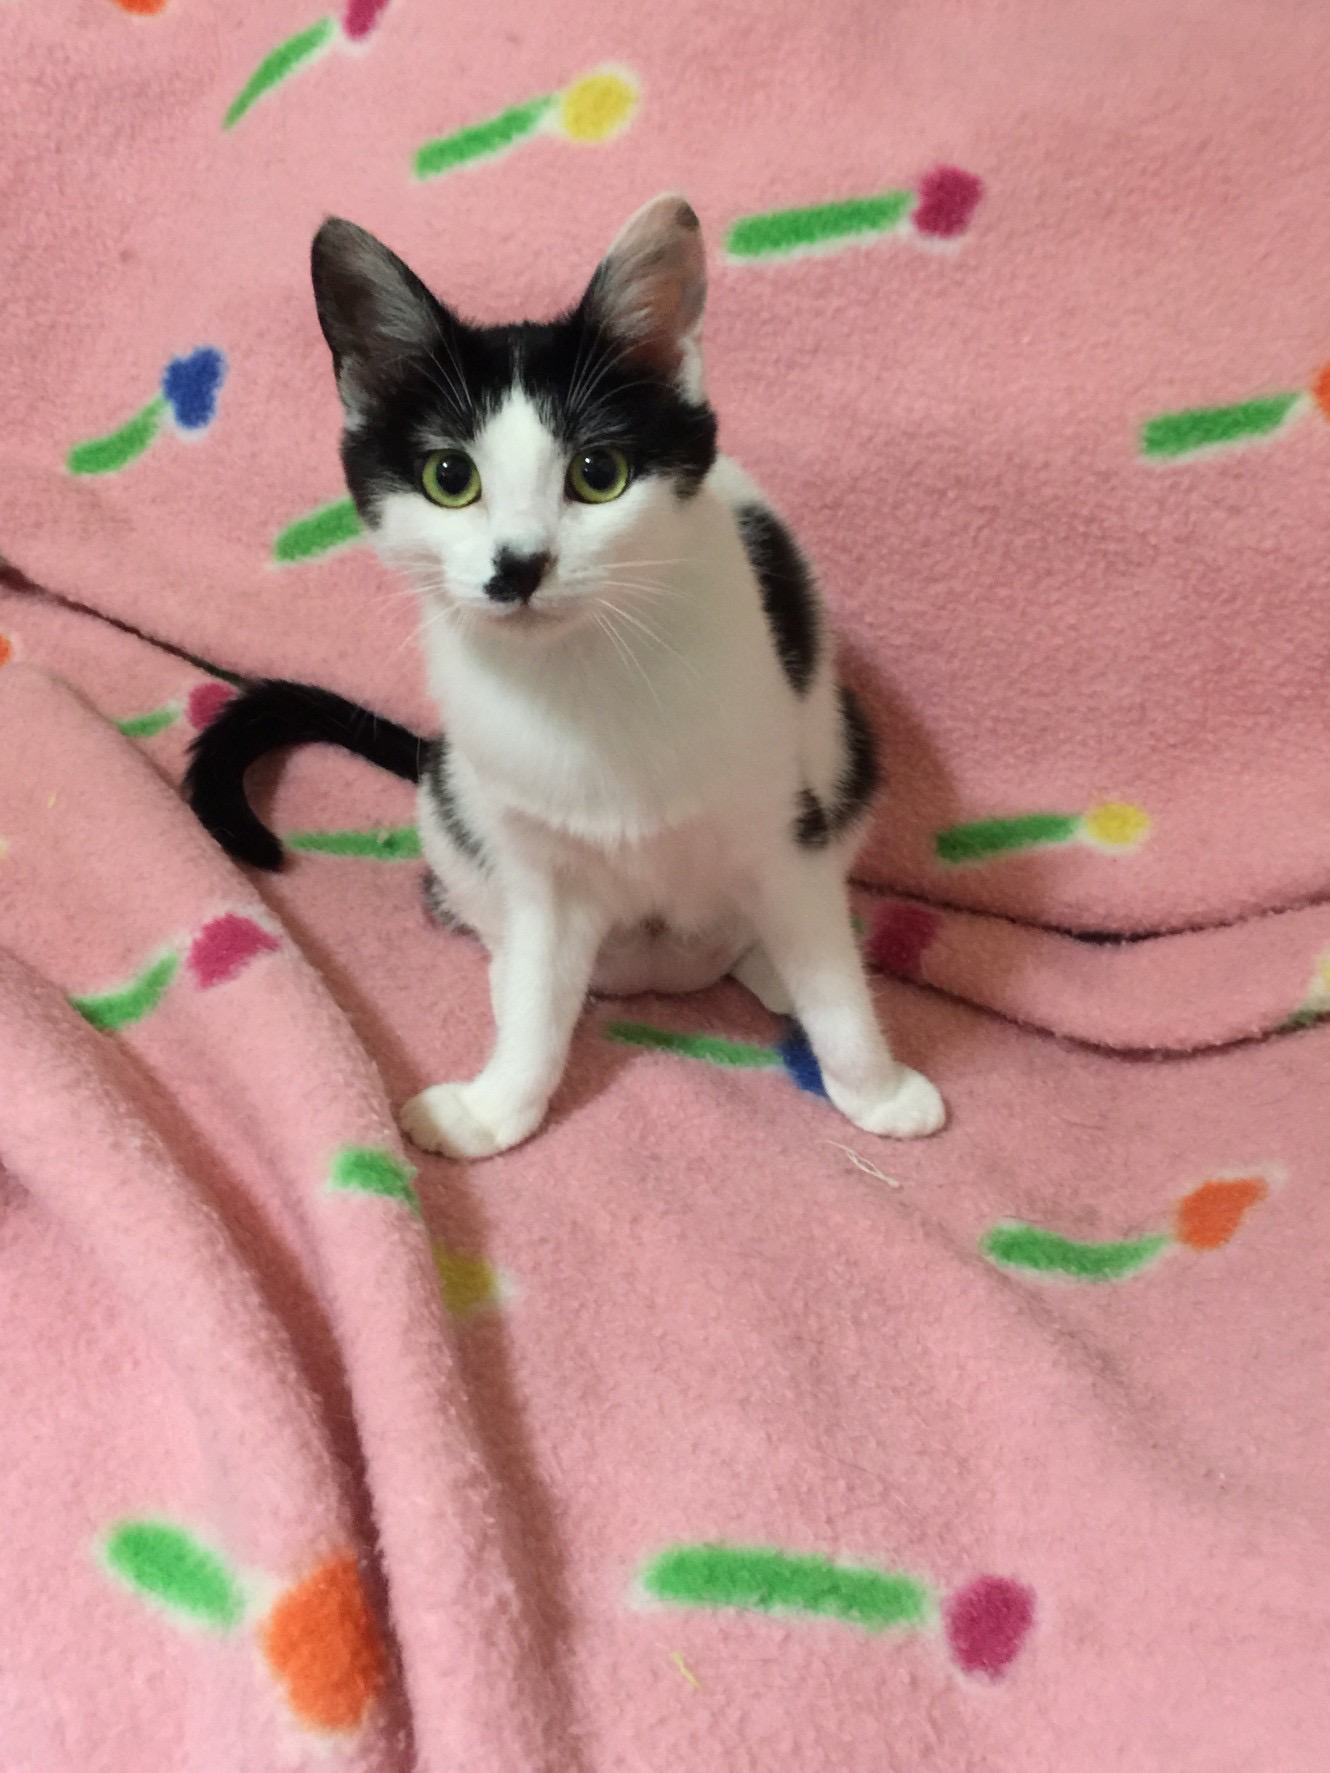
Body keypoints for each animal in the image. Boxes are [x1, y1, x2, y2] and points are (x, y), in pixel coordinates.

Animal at [186, 194, 946, 1160]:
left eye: (599, 473)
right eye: (449, 476)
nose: (519, 564)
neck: (584, 676)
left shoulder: (786, 823)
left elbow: (834, 983)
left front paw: (877, 1089)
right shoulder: (538, 860)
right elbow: (541, 996)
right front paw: (495, 1104)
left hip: (849, 755)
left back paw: (770, 968)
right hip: (451, 791)